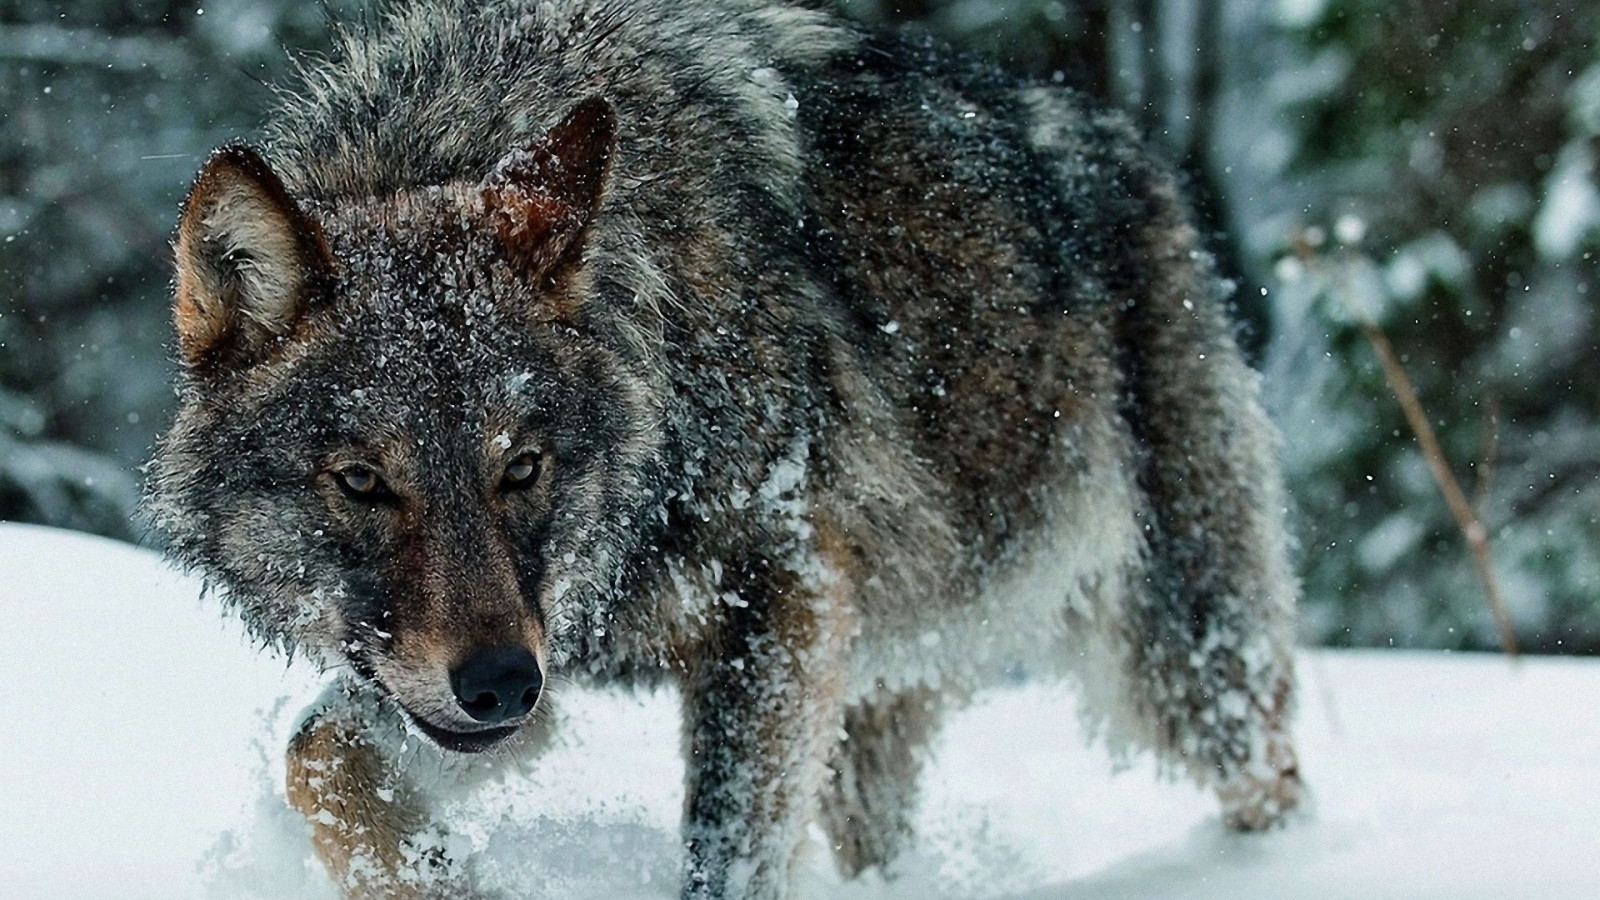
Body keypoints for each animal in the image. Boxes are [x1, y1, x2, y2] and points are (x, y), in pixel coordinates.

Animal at [149, 0, 1303, 896]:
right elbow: (317, 754)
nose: (501, 688)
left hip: (1183, 659)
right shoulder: (527, 655)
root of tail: (1131, 145)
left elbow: (726, 857)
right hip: (868, 711)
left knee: (1273, 775)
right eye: (361, 482)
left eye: (521, 468)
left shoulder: (774, 595)